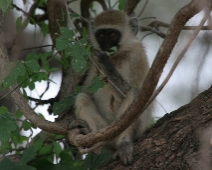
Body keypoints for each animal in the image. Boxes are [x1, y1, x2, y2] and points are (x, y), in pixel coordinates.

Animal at [70, 9, 153, 165]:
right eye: (101, 35)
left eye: (113, 34)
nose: (107, 47)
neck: (118, 57)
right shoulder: (93, 63)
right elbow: (86, 92)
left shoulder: (137, 57)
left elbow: (135, 93)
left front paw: (106, 63)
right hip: (106, 129)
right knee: (82, 97)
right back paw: (91, 138)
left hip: (138, 128)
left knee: (133, 94)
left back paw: (124, 144)